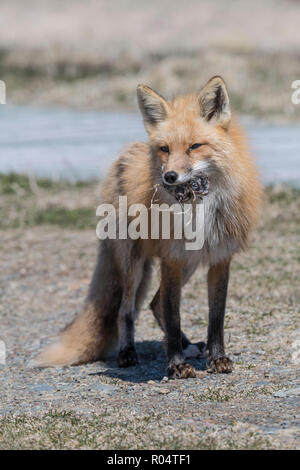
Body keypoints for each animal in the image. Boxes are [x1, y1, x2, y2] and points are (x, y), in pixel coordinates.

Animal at [34, 76, 262, 378]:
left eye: (194, 146)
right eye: (165, 149)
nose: (169, 177)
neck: (198, 205)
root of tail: (124, 154)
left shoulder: (219, 257)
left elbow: (216, 317)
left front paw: (217, 358)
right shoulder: (171, 258)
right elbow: (173, 314)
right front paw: (176, 364)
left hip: (188, 263)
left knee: (154, 304)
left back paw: (188, 346)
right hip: (134, 264)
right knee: (126, 310)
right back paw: (128, 353)